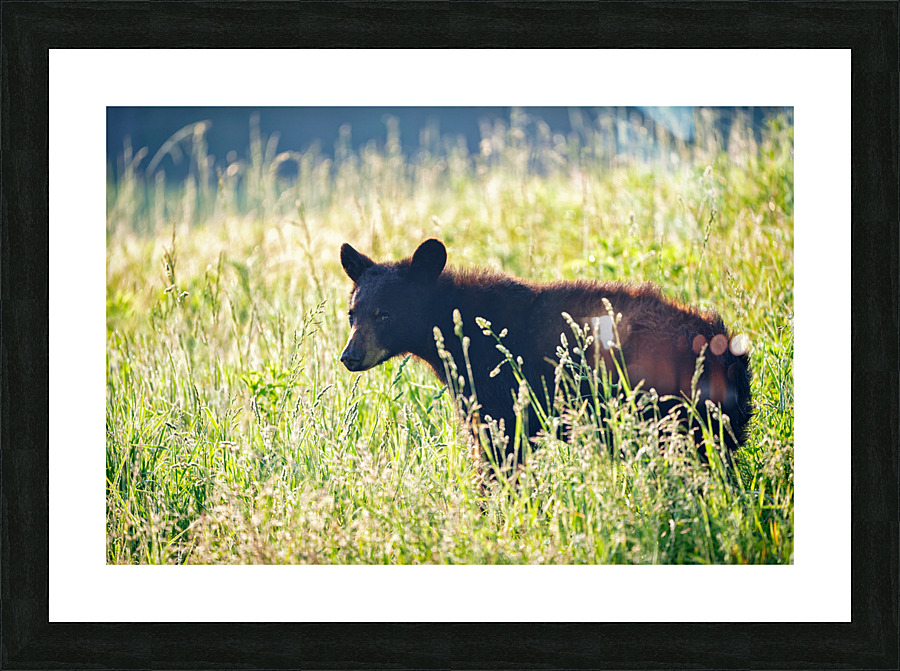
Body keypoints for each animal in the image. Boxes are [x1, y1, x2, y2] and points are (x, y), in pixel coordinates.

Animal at [340, 238, 752, 468]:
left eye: (385, 314)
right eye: (352, 313)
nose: (350, 356)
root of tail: (725, 349)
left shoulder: (500, 394)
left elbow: (500, 456)